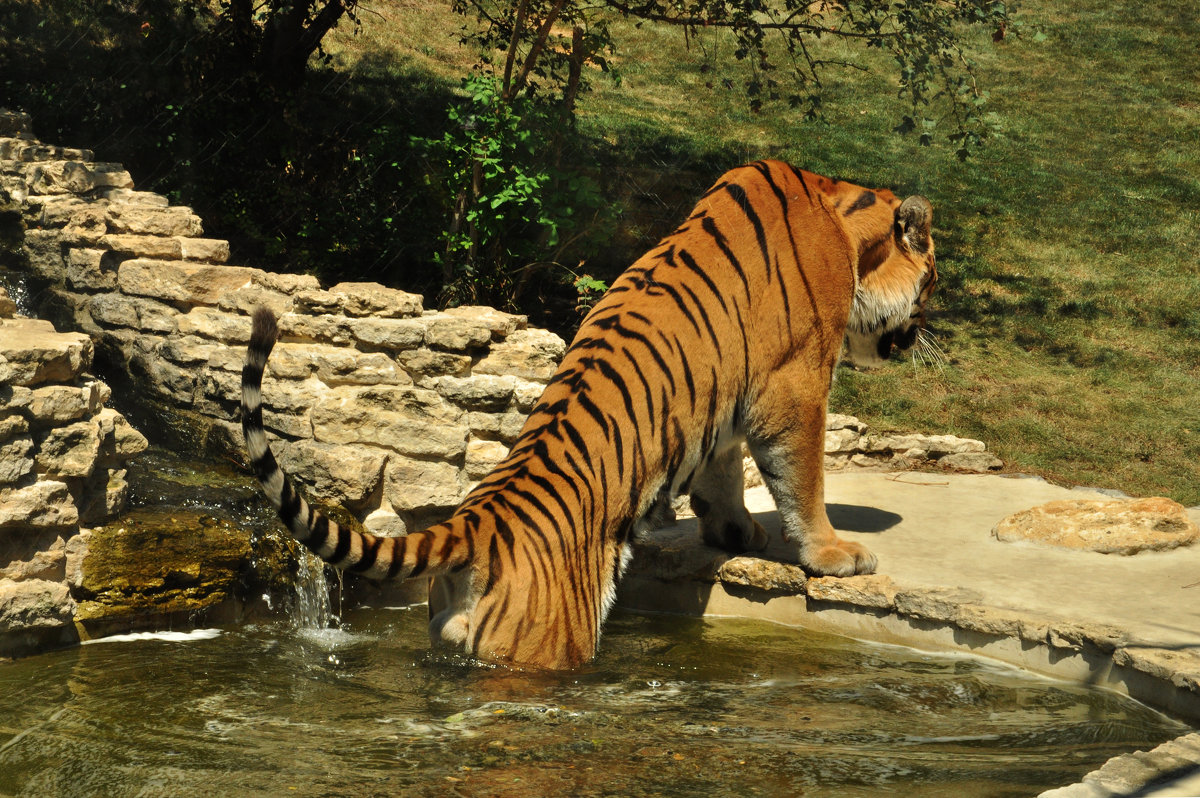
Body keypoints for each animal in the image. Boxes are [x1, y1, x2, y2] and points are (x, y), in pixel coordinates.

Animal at [243, 158, 936, 667]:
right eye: (932, 279)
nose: (927, 333)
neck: (841, 210)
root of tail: (474, 523)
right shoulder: (796, 385)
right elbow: (803, 479)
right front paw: (834, 554)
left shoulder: (726, 398)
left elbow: (722, 469)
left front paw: (734, 532)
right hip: (549, 644)